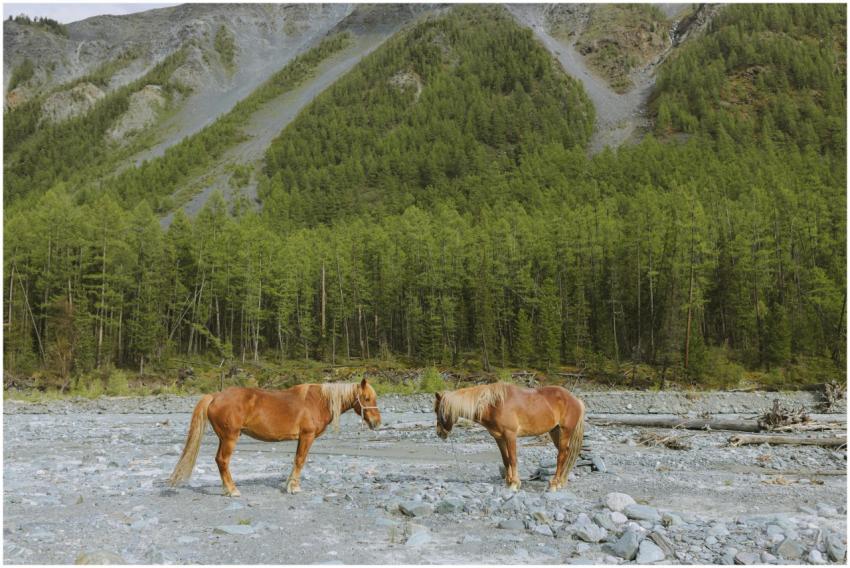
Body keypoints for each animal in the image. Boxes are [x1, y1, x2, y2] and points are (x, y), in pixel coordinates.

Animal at [168, 378, 381, 496]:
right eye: (367, 398)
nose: (377, 422)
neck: (318, 401)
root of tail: (215, 396)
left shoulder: (301, 438)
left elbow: (296, 460)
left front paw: (289, 485)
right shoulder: (307, 436)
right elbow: (300, 460)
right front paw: (294, 488)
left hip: (224, 438)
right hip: (230, 438)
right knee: (222, 461)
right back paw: (233, 490)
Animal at [434, 382, 584, 492]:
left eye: (437, 410)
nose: (439, 433)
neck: (494, 405)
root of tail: (576, 400)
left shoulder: (510, 435)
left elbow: (513, 459)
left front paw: (515, 484)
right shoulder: (499, 438)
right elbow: (506, 459)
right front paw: (508, 482)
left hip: (565, 432)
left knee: (561, 456)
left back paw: (554, 484)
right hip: (555, 432)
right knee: (565, 454)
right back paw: (560, 482)